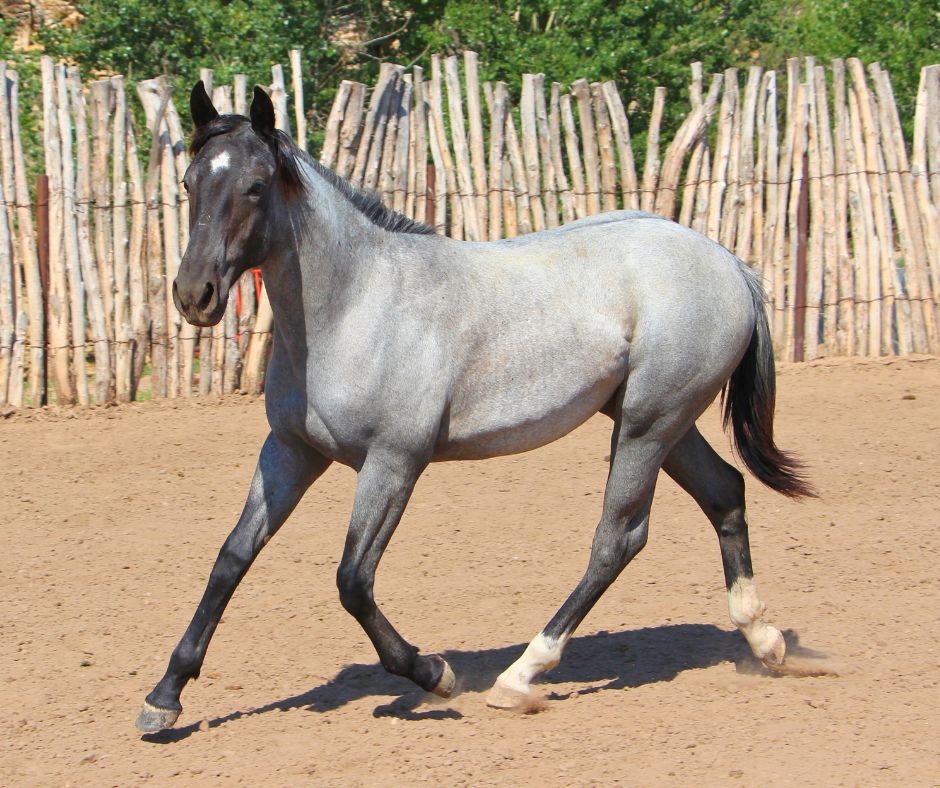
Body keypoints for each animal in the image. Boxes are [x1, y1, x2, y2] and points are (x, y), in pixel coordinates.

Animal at [135, 82, 814, 733]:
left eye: (254, 187)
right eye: (190, 182)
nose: (194, 294)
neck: (356, 304)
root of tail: (729, 263)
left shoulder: (394, 462)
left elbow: (352, 580)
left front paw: (434, 673)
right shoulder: (292, 451)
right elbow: (231, 558)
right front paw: (164, 698)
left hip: (649, 426)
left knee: (618, 539)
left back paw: (521, 677)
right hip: (655, 421)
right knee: (724, 491)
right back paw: (766, 642)